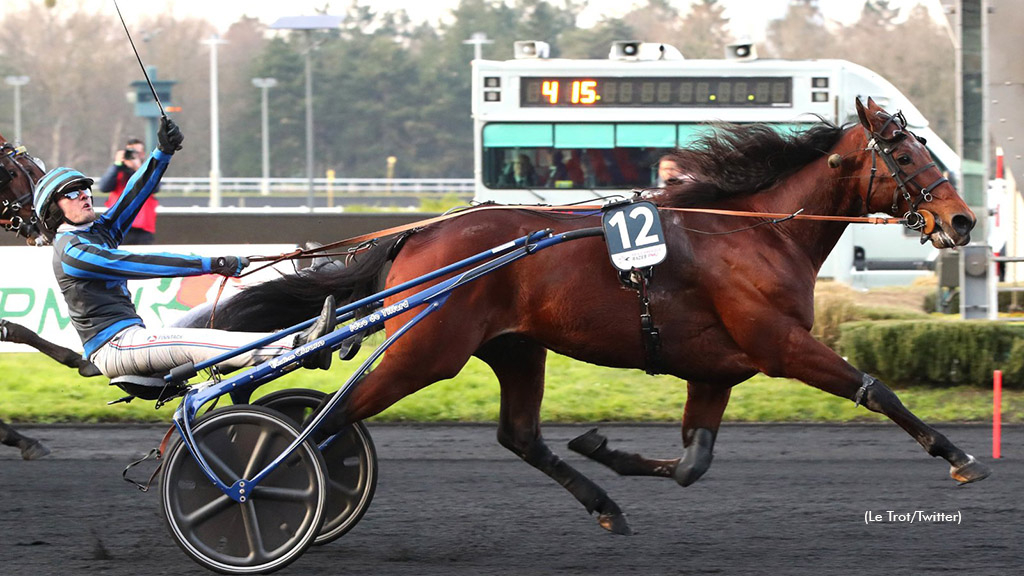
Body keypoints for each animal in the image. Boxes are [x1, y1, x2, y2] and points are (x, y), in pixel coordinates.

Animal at [201, 99, 991, 532]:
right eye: (903, 151)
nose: (962, 219)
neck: (757, 231)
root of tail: (418, 235)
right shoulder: (779, 342)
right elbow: (876, 389)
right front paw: (959, 457)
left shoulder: (716, 369)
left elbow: (693, 464)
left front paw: (605, 448)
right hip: (428, 351)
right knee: (327, 419)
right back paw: (252, 485)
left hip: (516, 347)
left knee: (517, 434)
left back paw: (602, 499)